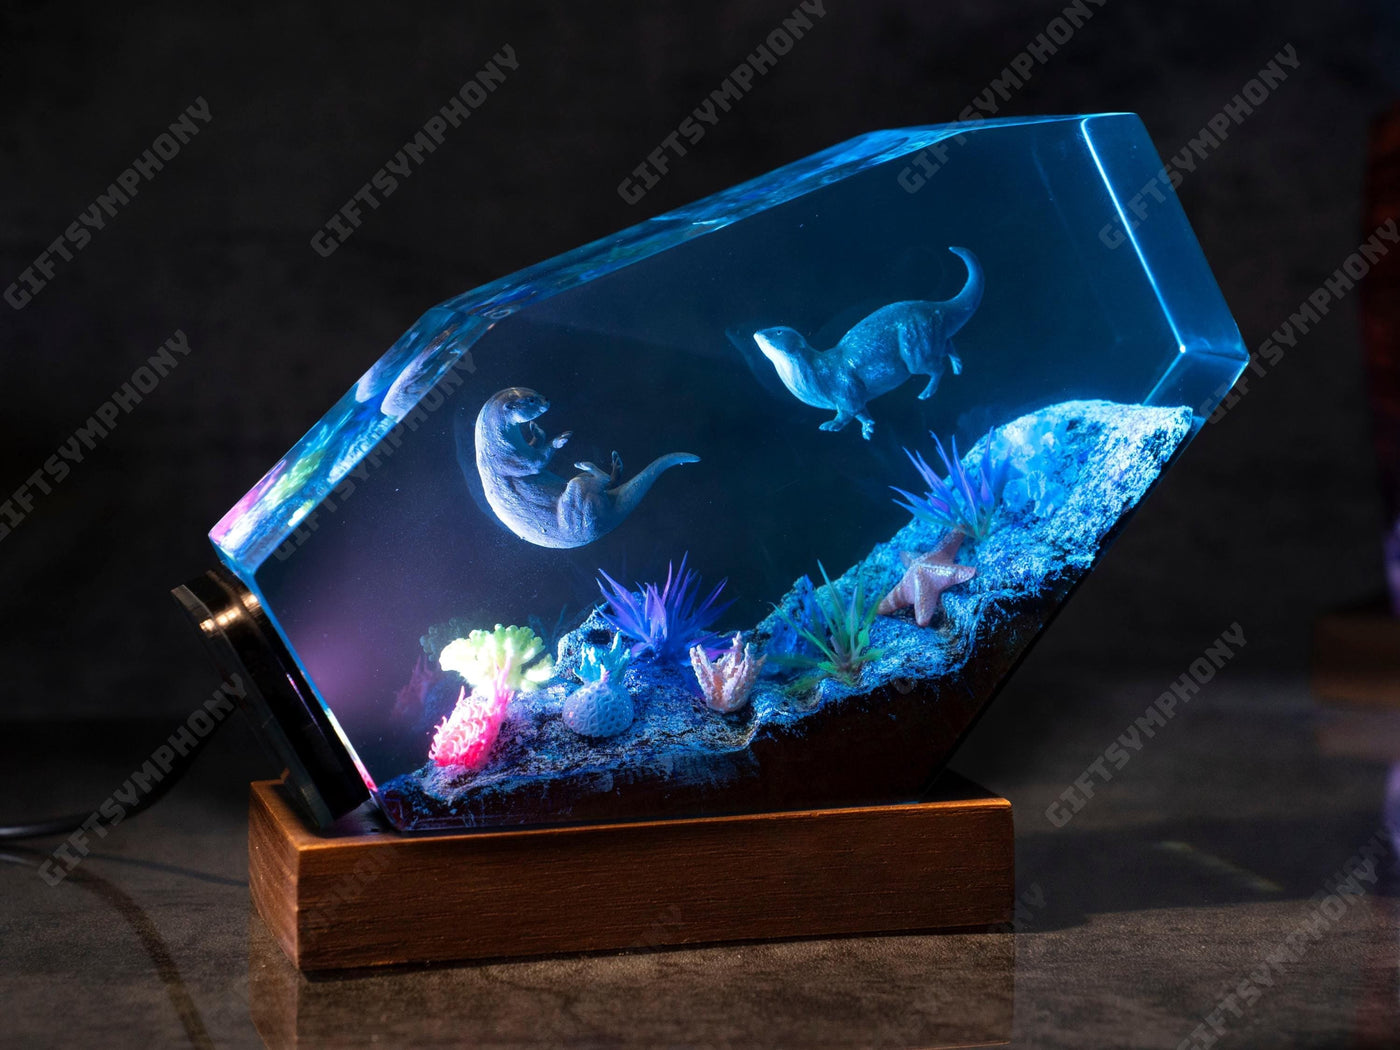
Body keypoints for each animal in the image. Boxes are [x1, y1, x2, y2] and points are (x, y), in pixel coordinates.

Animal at [472, 387, 699, 549]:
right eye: (531, 400)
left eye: (533, 391)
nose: (546, 399)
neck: (494, 445)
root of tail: (606, 523)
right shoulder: (510, 460)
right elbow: (537, 462)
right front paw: (560, 439)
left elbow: (537, 446)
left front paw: (537, 431)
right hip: (579, 499)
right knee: (602, 481)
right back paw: (587, 464)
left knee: (609, 481)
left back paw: (615, 463)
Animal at [753, 246, 983, 440]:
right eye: (769, 328)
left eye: (777, 331)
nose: (757, 332)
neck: (818, 374)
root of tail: (934, 308)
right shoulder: (853, 398)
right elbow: (862, 413)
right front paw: (868, 428)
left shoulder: (845, 391)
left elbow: (847, 413)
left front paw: (832, 425)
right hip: (928, 338)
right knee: (947, 344)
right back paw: (958, 366)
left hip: (915, 348)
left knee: (936, 367)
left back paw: (927, 392)